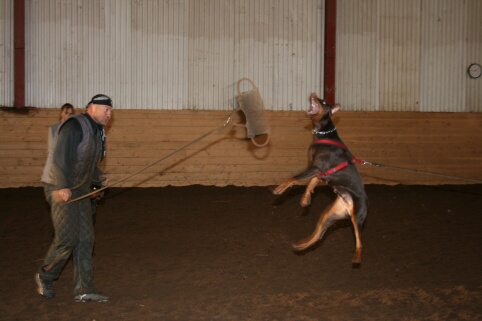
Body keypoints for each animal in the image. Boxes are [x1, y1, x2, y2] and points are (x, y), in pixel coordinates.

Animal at [274, 93, 368, 264]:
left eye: (323, 102)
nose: (313, 94)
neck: (324, 133)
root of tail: (348, 205)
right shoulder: (320, 173)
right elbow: (311, 183)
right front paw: (305, 199)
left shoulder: (317, 168)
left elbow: (294, 178)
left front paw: (280, 188)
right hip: (329, 215)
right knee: (319, 236)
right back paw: (301, 245)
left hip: (358, 216)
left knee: (359, 240)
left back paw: (357, 256)